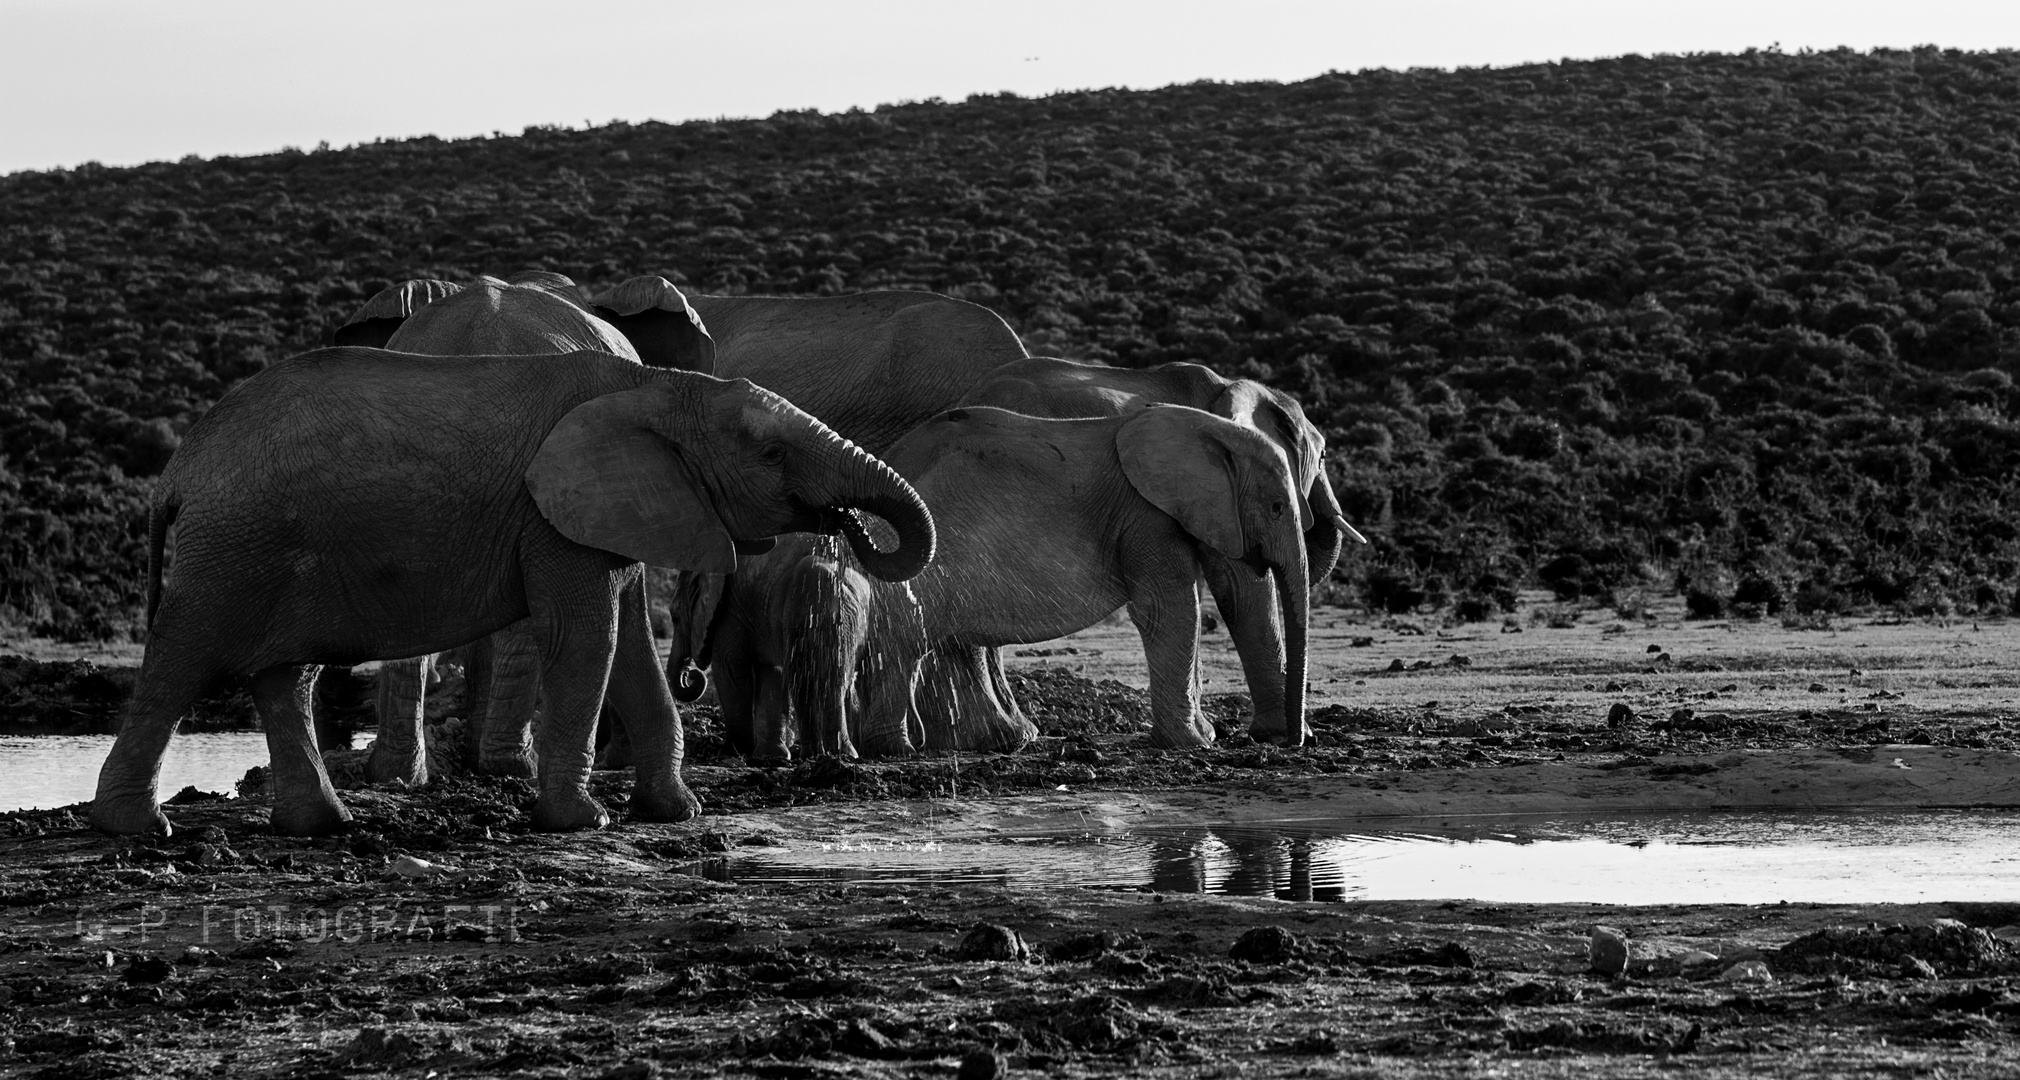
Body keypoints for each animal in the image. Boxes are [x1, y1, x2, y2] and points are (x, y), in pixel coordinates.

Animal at [90, 351, 941, 839]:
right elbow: (588, 639)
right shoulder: (553, 516)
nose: (849, 529)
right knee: (182, 662)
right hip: (231, 549)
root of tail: (177, 472)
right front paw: (584, 821)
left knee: (284, 677)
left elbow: (631, 648)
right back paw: (140, 831)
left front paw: (678, 813)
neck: (658, 388)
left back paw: (322, 826)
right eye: (769, 453)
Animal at [836, 409, 1308, 754]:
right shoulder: (1144, 515)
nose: (1294, 742)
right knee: (910, 638)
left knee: (955, 642)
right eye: (1276, 507)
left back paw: (1006, 741)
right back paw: (898, 750)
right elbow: (1170, 609)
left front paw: (1226, 736)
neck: (1210, 427)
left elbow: (1242, 593)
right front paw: (1192, 745)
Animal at [949, 359, 1373, 746]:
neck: (1236, 388)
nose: (1298, 740)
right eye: (1322, 457)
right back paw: (1009, 734)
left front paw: (1217, 732)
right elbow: (1242, 586)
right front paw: (1281, 734)